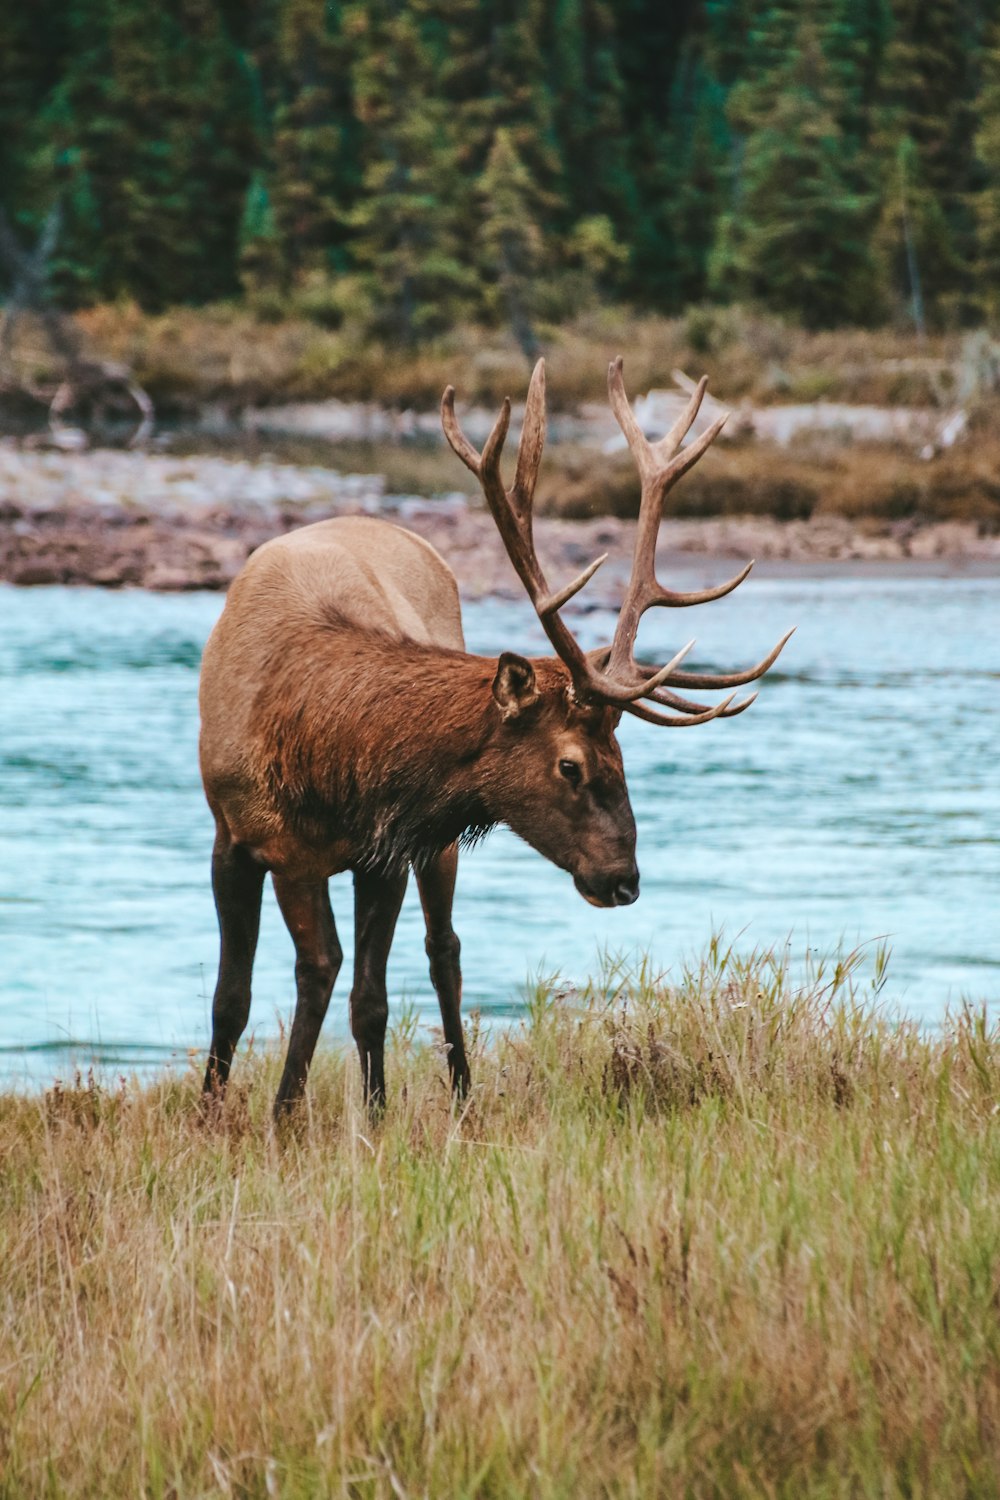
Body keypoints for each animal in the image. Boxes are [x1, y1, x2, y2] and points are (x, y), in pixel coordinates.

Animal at [197, 360, 791, 1116]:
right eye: (570, 766)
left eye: (621, 754)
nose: (624, 880)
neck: (328, 760)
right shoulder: (242, 834)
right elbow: (243, 994)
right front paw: (234, 1114)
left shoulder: (386, 852)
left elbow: (364, 993)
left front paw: (349, 1115)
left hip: (437, 842)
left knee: (443, 951)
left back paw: (461, 1093)